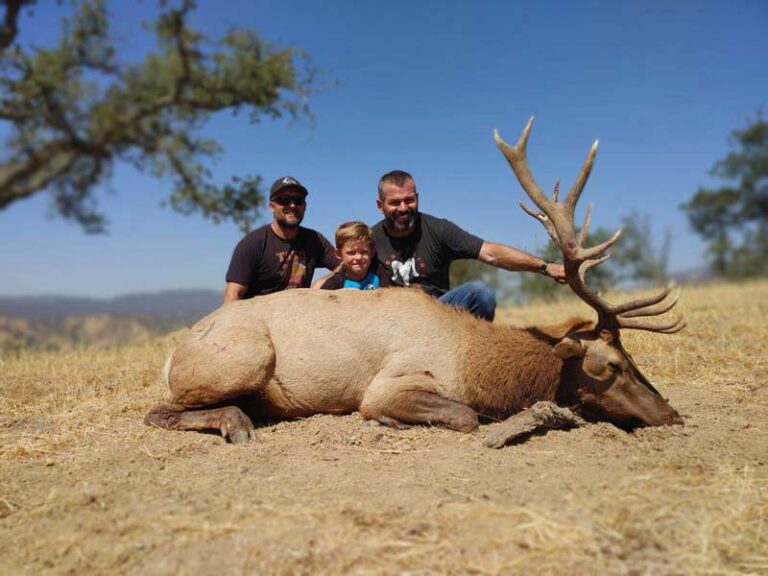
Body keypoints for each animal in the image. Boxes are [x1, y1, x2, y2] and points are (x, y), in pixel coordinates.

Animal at [145, 118, 685, 446]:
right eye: (613, 364)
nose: (672, 414)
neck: (475, 363)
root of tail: (171, 356)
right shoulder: (388, 384)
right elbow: (464, 416)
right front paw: (389, 420)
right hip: (247, 357)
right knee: (158, 410)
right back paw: (237, 422)